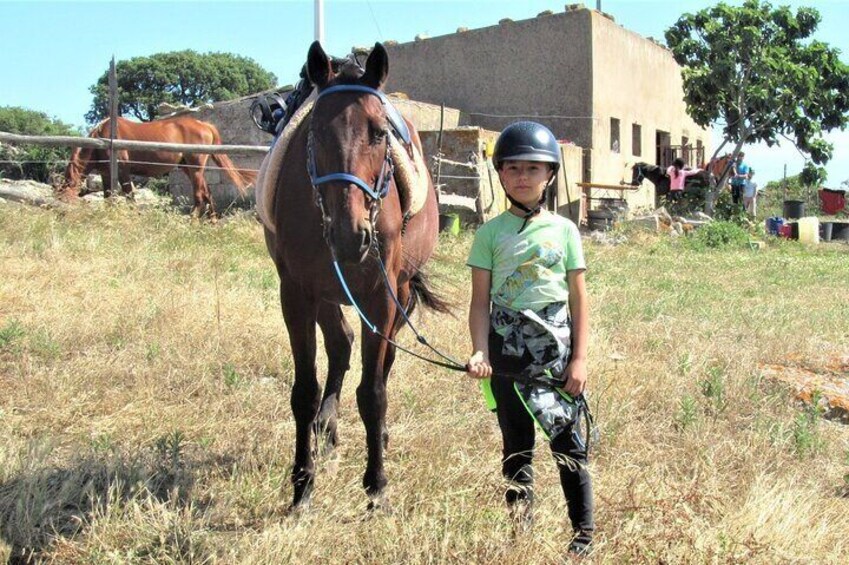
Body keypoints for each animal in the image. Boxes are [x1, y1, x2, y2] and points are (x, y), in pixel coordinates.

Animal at [60, 115, 255, 217]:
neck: (102, 138)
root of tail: (204, 124)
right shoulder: (106, 174)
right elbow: (108, 198)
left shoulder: (123, 171)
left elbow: (129, 196)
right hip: (188, 168)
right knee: (207, 193)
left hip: (195, 168)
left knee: (200, 195)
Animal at [264, 41, 448, 508]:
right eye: (315, 133)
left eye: (380, 133)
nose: (351, 238)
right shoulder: (296, 292)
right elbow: (304, 391)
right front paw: (302, 483)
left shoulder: (380, 296)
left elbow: (373, 392)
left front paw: (376, 483)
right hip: (328, 294)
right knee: (341, 344)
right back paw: (326, 425)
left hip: (399, 294)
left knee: (382, 361)